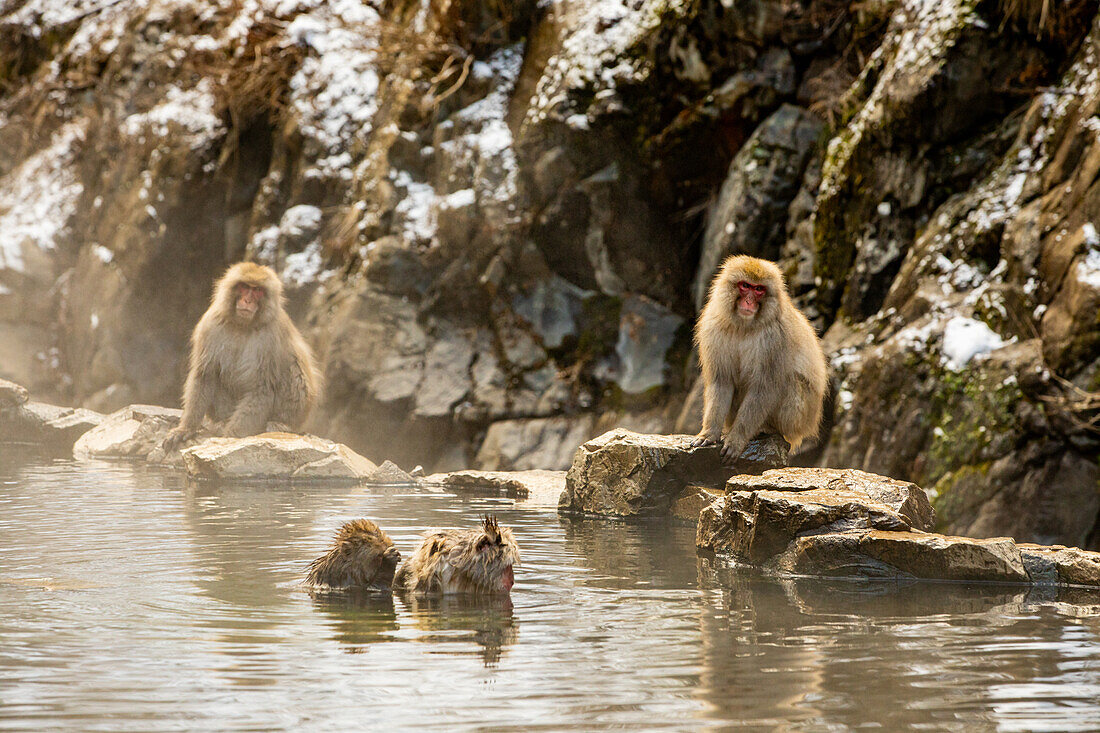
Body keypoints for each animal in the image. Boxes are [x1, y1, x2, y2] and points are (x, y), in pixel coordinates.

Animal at [161, 259, 321, 449]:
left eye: (258, 290)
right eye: (244, 287)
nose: (247, 300)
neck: (243, 325)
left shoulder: (271, 337)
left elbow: (262, 388)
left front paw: (230, 437)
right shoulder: (210, 325)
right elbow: (205, 374)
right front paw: (186, 428)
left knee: (294, 367)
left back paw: (281, 424)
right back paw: (221, 423)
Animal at [686, 256, 827, 460]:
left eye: (759, 289)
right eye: (745, 286)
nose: (749, 301)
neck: (744, 327)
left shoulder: (777, 338)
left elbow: (764, 388)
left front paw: (736, 439)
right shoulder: (714, 328)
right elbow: (722, 381)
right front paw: (709, 433)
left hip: (798, 420)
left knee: (791, 381)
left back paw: (767, 429)